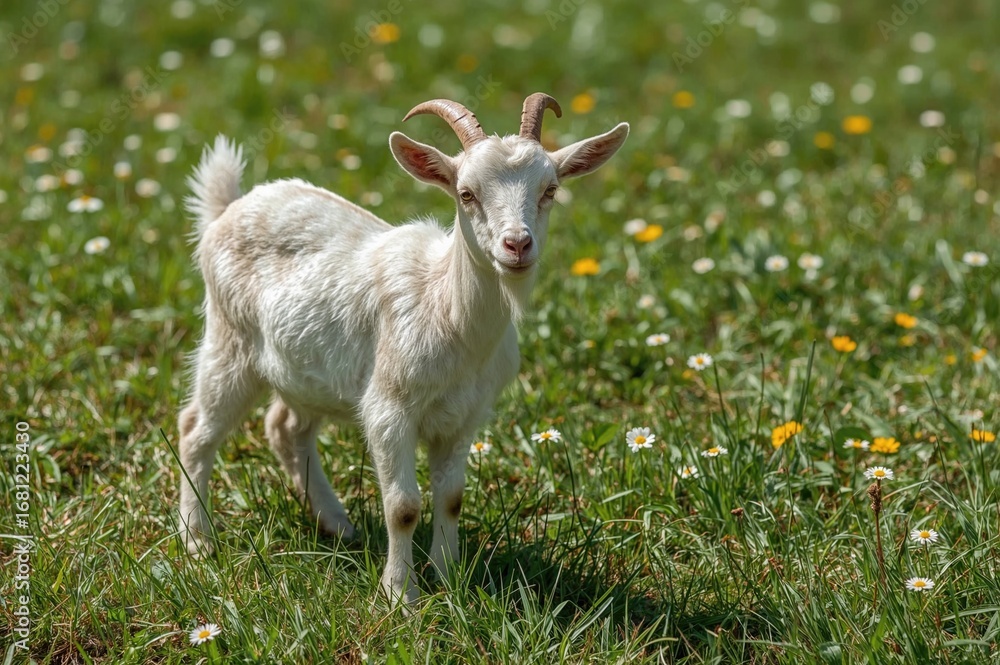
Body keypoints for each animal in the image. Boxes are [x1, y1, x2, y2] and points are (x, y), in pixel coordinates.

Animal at [177, 93, 628, 603]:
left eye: (550, 189)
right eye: (466, 194)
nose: (517, 245)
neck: (445, 308)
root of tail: (228, 207)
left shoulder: (466, 415)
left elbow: (451, 498)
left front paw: (450, 580)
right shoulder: (389, 408)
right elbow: (404, 506)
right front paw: (401, 595)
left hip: (305, 370)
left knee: (286, 428)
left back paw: (336, 524)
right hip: (228, 340)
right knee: (196, 431)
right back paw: (198, 542)